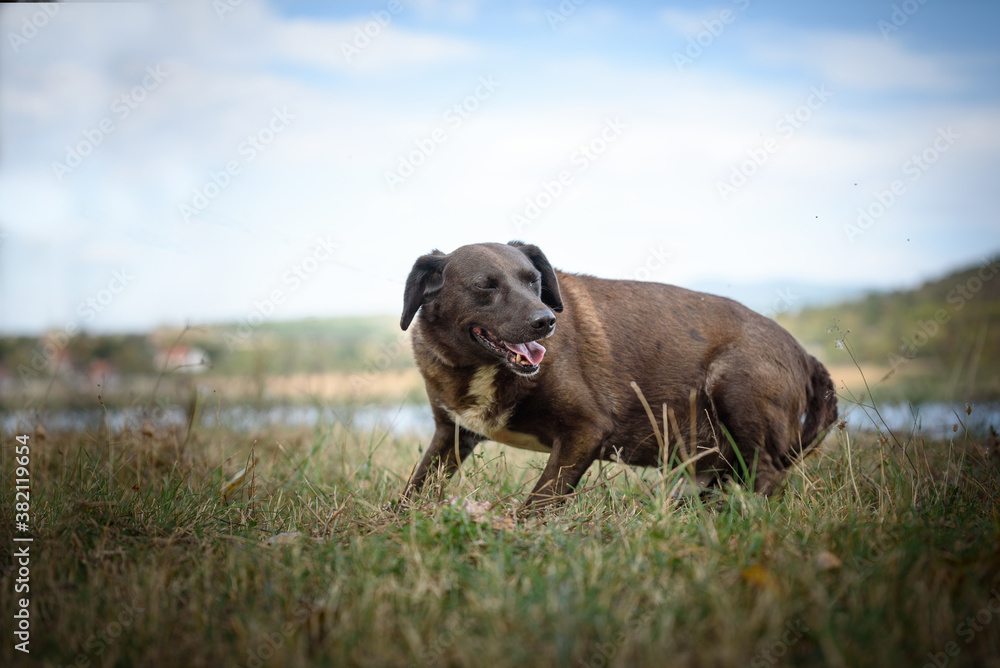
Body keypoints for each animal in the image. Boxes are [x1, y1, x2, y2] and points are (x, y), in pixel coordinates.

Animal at [398, 240, 836, 506]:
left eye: (534, 281)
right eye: (484, 286)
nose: (546, 321)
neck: (481, 366)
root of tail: (805, 354)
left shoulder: (587, 430)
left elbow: (539, 501)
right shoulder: (452, 435)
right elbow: (413, 489)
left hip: (734, 386)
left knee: (767, 474)